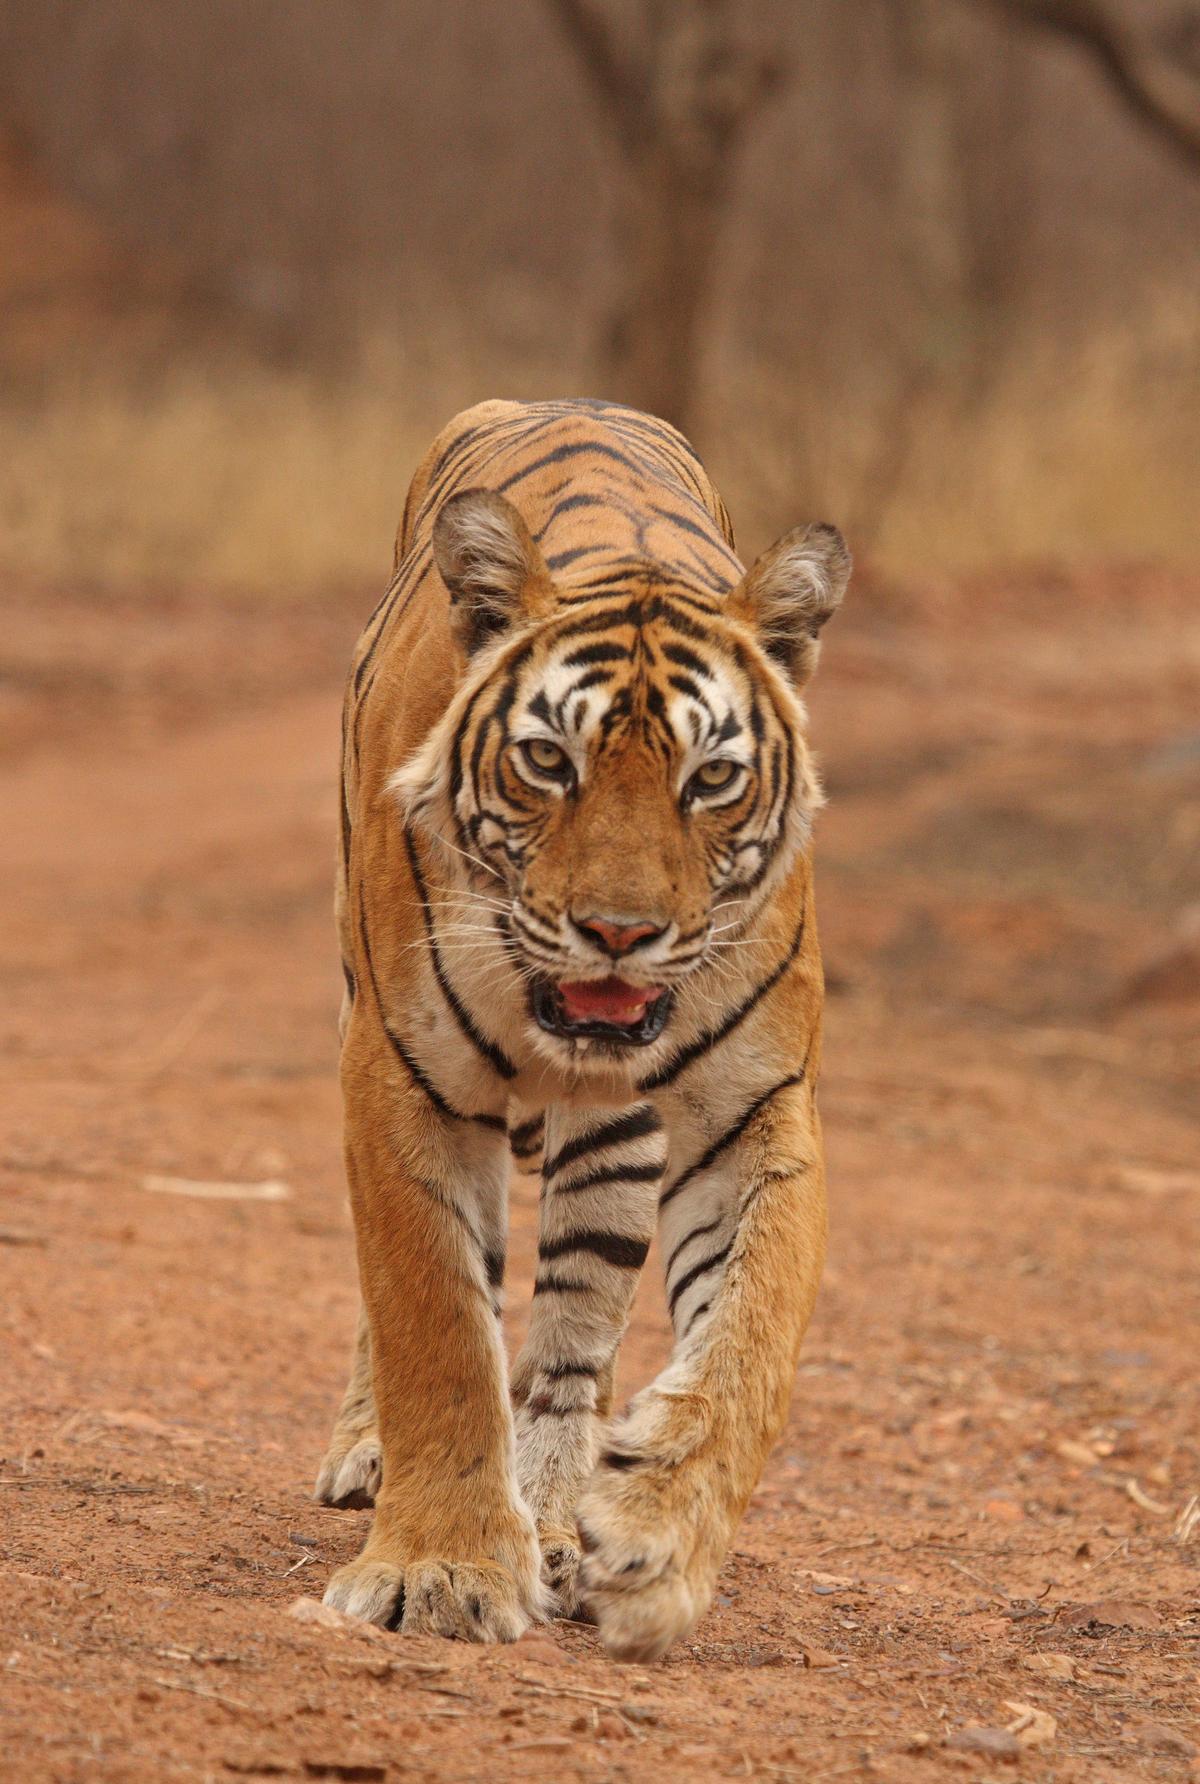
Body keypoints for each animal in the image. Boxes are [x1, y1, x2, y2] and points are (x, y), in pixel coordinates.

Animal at [313, 397, 849, 1662]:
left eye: (713, 777)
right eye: (548, 759)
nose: (619, 931)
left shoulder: (754, 1109)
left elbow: (754, 1337)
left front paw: (655, 1537)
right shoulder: (401, 1073)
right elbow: (434, 1323)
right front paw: (440, 1568)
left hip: (617, 1140)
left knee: (570, 1338)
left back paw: (559, 1518)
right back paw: (380, 1456)